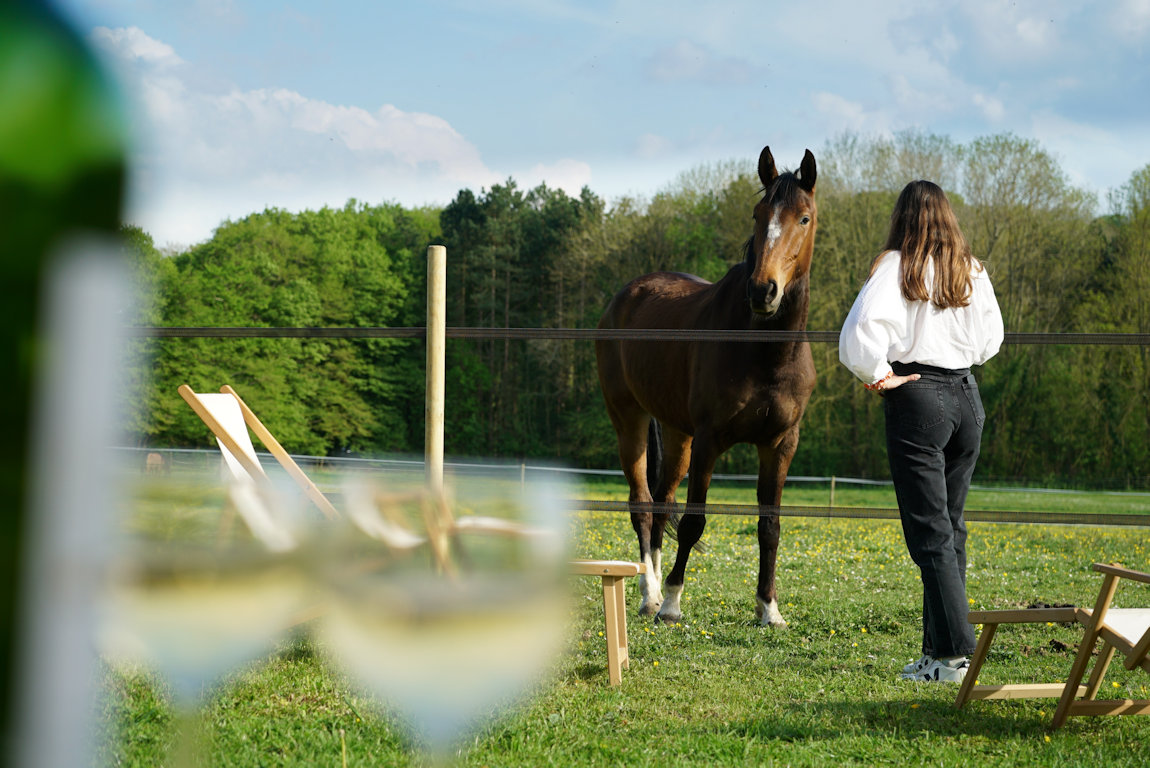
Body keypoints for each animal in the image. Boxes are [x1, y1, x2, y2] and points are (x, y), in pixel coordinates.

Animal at [594, 146, 817, 627]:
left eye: (804, 218)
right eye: (758, 214)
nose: (763, 291)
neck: (764, 352)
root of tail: (626, 295)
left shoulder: (780, 444)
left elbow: (770, 526)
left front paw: (768, 608)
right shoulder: (711, 439)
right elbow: (694, 521)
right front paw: (673, 603)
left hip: (678, 432)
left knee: (662, 501)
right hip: (628, 418)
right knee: (642, 504)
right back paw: (650, 596)